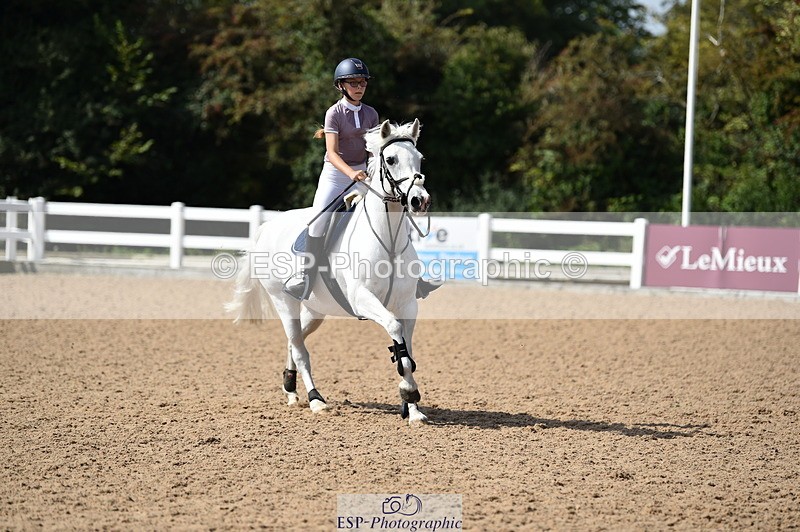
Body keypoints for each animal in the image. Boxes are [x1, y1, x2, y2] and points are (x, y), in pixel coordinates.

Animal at [226, 119, 432, 425]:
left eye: (420, 158)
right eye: (391, 159)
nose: (420, 200)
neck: (389, 241)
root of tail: (268, 226)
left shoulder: (407, 304)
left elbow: (405, 350)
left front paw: (413, 408)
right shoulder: (364, 300)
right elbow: (396, 332)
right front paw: (408, 393)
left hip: (315, 311)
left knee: (294, 340)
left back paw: (290, 388)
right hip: (284, 302)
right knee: (299, 348)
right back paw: (315, 400)